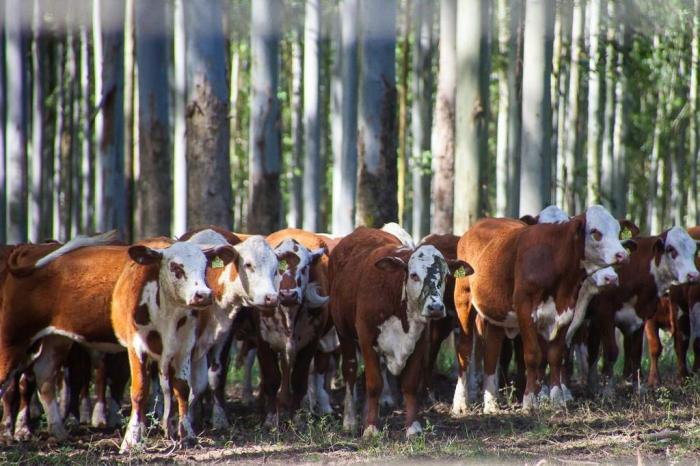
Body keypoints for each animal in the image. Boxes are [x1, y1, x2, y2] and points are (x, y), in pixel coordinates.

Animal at [328, 225, 470, 436]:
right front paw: (371, 427)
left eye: (445, 276)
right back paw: (350, 419)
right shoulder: (366, 338)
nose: (436, 307)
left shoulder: (420, 341)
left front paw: (412, 427)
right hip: (343, 332)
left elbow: (409, 384)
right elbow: (374, 383)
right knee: (350, 371)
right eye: (414, 275)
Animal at [454, 206, 636, 414]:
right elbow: (533, 355)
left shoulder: (565, 312)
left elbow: (555, 355)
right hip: (463, 299)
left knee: (491, 350)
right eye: (595, 232)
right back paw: (460, 403)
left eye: (618, 230)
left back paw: (491, 403)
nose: (622, 255)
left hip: (496, 313)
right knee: (465, 350)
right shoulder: (525, 309)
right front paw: (530, 400)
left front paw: (556, 399)